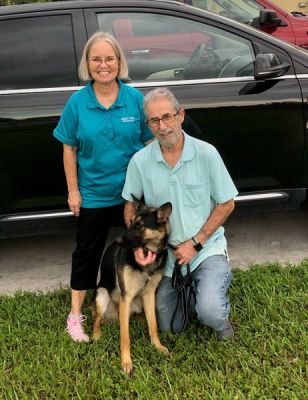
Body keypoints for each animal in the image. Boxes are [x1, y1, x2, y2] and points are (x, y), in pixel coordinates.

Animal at [92, 198, 172, 374]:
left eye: (140, 225)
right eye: (130, 222)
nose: (117, 241)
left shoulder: (149, 295)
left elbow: (153, 325)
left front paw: (157, 346)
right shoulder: (126, 297)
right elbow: (125, 336)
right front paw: (126, 361)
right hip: (102, 295)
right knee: (97, 318)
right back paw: (96, 335)